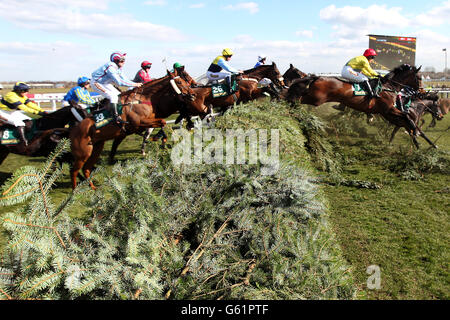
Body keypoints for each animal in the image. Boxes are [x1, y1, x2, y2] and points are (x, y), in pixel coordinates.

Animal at [286, 64, 430, 149]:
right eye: (419, 78)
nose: (422, 92)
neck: (388, 86)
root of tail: (316, 77)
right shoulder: (388, 109)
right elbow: (407, 117)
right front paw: (416, 132)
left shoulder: (386, 112)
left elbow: (406, 119)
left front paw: (417, 138)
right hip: (316, 99)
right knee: (293, 98)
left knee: (293, 97)